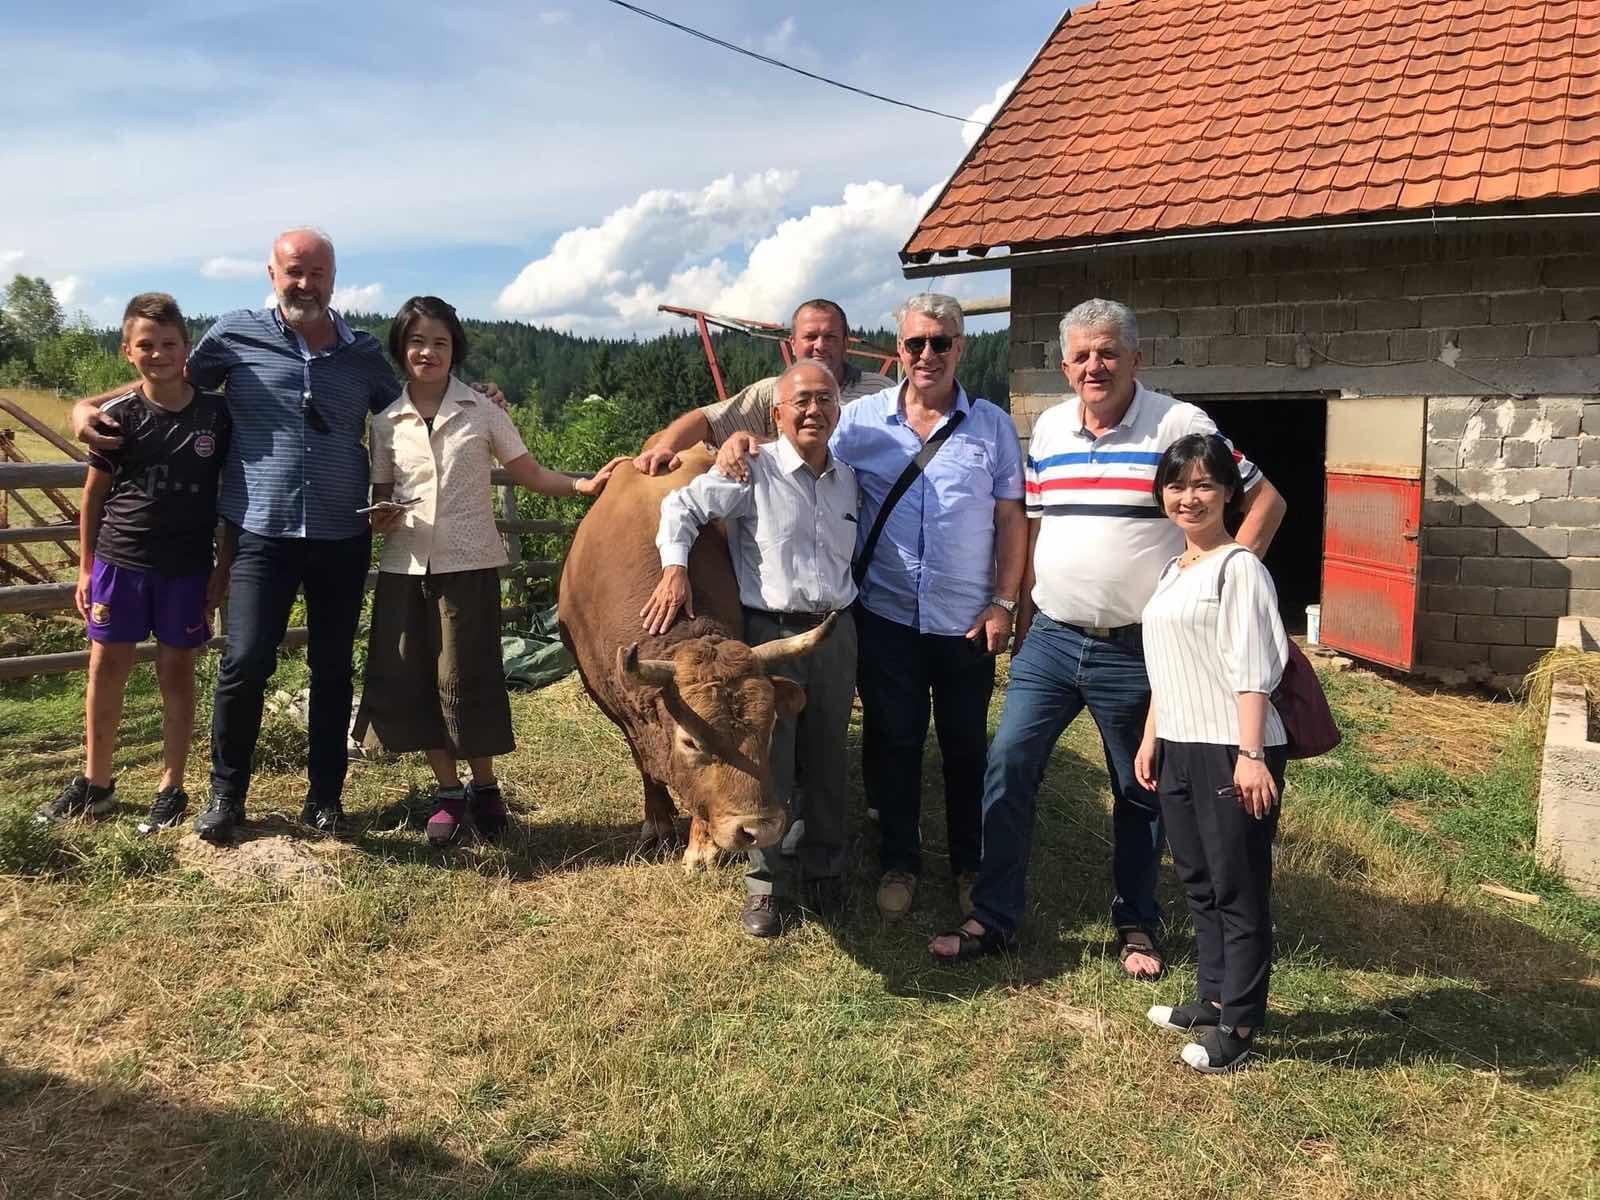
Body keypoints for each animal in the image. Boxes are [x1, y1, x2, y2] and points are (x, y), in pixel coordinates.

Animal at [560, 448, 838, 870]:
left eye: (771, 726)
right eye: (690, 742)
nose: (758, 830)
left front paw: (702, 843)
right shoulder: (613, 702)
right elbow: (643, 760)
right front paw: (658, 819)